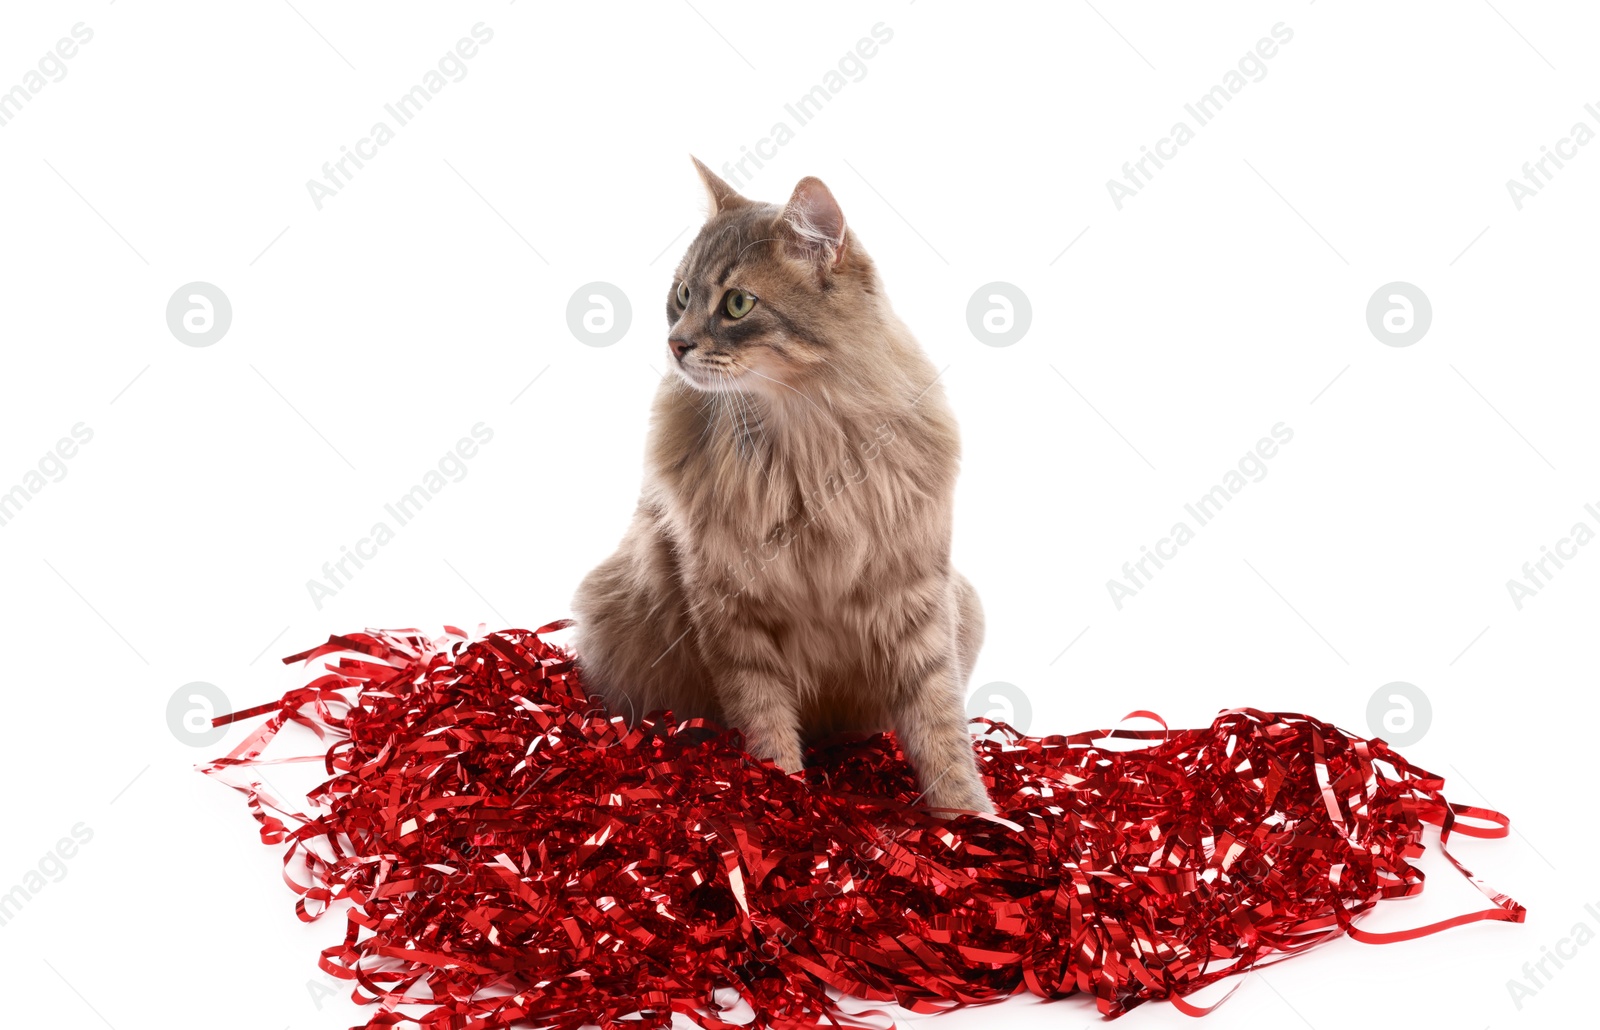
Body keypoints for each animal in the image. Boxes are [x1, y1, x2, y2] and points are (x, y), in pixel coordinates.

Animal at [569, 159, 992, 812]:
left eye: (738, 303)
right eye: (682, 295)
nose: (676, 344)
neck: (807, 438)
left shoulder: (916, 591)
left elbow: (939, 721)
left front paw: (967, 816)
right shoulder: (729, 606)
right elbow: (765, 721)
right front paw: (782, 800)